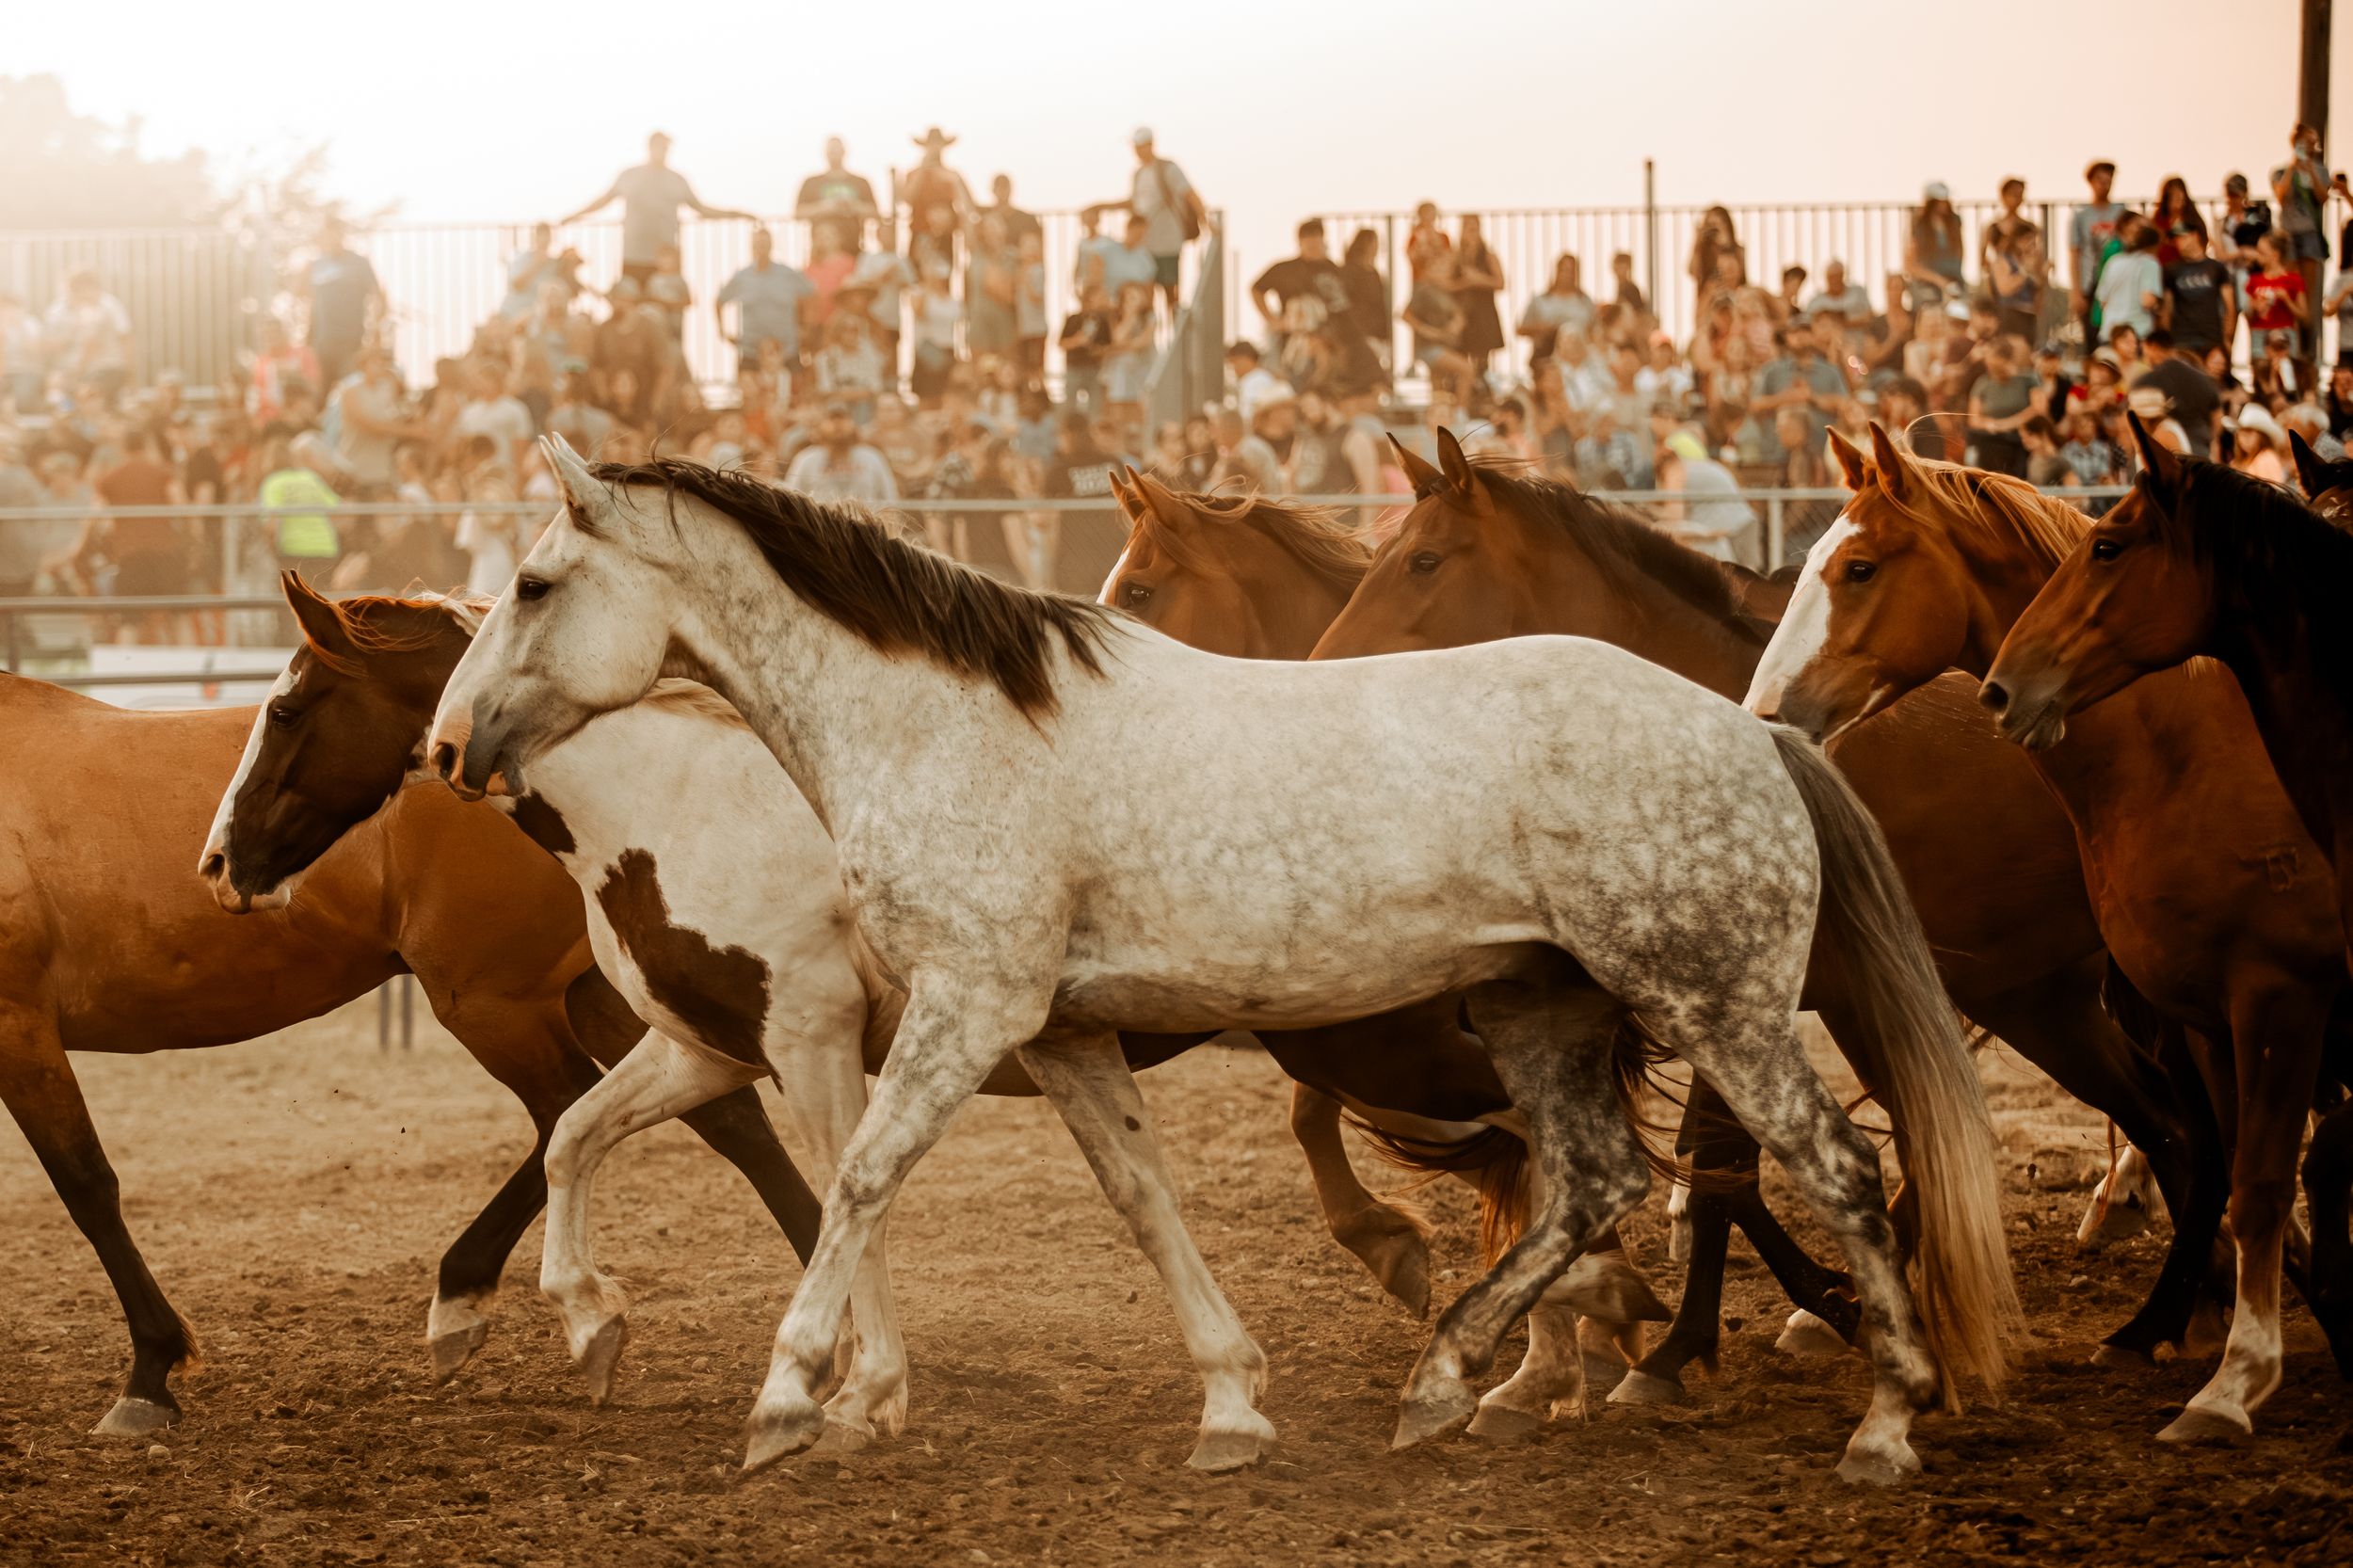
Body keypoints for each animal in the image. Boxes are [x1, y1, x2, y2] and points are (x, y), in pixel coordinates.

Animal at [0, 673, 821, 1441]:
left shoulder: (21, 1028)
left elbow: (87, 1187)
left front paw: (149, 1373)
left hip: (494, 1002)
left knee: (567, 1116)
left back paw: (469, 1300)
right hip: (596, 991)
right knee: (718, 1118)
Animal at [203, 577, 1663, 1443]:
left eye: (291, 700)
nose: (220, 862)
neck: (665, 798)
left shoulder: (811, 1044)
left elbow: (847, 1195)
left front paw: (849, 1387)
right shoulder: (703, 1046)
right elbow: (576, 1140)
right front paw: (589, 1322)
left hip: (1381, 1043)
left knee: (1557, 1156)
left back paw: (1558, 1335)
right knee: (1546, 1160)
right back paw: (1552, 1345)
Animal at [429, 438, 2013, 1486]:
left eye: (534, 581)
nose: (447, 746)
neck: (943, 727)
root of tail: (1757, 726)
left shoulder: (952, 1011)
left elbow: (861, 1179)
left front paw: (788, 1396)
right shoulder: (1054, 1032)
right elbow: (1142, 1200)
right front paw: (1233, 1407)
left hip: (1711, 999)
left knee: (1830, 1168)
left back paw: (1881, 1418)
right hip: (1541, 1008)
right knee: (1600, 1178)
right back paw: (1458, 1372)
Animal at [1144, 433, 2200, 1385]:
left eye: (1426, 559)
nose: (1325, 672)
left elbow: (1713, 1164)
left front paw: (1673, 1338)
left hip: (2021, 991)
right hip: (2033, 991)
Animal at [1750, 421, 2352, 1440]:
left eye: (1860, 567)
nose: (1759, 716)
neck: (2185, 759)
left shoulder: (2280, 999)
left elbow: (2268, 1179)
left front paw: (2234, 1386)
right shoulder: (2209, 1015)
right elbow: (2244, 1174)